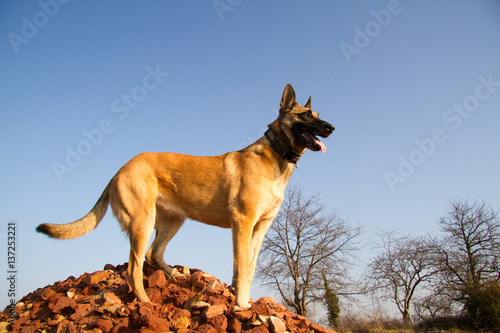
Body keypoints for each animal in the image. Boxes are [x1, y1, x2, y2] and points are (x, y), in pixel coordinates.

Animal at [37, 83, 334, 308]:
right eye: (306, 115)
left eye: (318, 113)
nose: (331, 128)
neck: (276, 154)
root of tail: (120, 170)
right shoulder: (243, 223)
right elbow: (241, 268)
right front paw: (240, 304)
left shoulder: (259, 229)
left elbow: (249, 269)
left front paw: (245, 302)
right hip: (142, 223)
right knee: (134, 269)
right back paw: (146, 303)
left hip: (172, 222)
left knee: (153, 255)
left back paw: (175, 276)